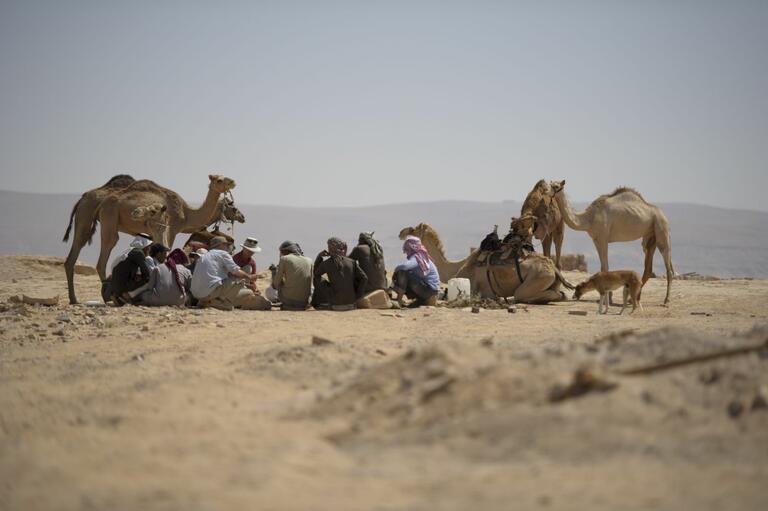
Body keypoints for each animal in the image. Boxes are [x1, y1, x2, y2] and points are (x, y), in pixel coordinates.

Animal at [398, 223, 573, 303]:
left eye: (413, 230)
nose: (401, 233)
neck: (455, 267)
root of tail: (554, 269)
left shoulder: (477, 289)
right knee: (560, 294)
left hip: (538, 277)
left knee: (523, 294)